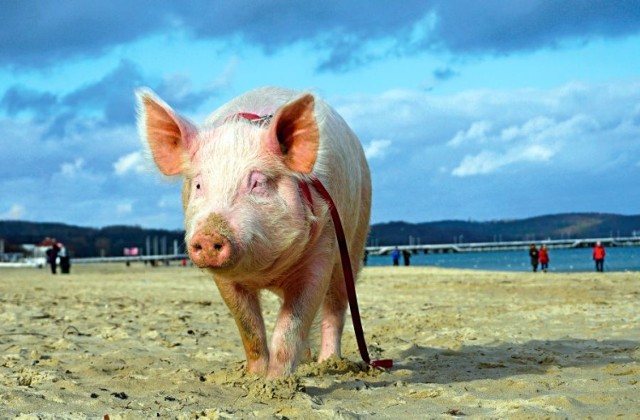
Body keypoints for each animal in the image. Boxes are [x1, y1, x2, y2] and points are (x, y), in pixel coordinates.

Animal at [138, 86, 372, 378]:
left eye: (258, 183)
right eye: (200, 185)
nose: (209, 235)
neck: (264, 272)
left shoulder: (323, 247)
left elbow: (290, 328)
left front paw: (275, 382)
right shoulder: (225, 280)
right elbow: (249, 327)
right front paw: (253, 377)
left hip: (354, 240)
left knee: (336, 306)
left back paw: (328, 363)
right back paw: (307, 360)